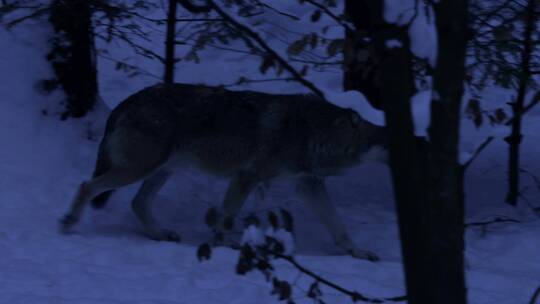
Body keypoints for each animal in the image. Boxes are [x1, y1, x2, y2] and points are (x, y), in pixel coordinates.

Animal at [60, 83, 388, 262]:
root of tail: (127, 101)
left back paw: (159, 234)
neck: (314, 134)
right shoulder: (246, 177)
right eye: (385, 141)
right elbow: (227, 217)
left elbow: (337, 225)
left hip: (163, 170)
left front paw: (358, 252)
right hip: (140, 169)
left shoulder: (308, 184)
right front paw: (224, 244)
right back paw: (68, 223)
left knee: (137, 202)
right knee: (86, 186)